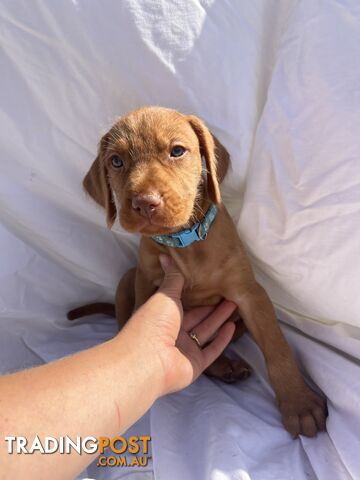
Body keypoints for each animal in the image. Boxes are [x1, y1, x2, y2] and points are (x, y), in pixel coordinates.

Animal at [69, 107, 328, 436]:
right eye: (116, 162)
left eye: (177, 151)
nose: (145, 203)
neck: (185, 243)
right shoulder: (145, 281)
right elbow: (141, 320)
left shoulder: (250, 295)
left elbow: (276, 346)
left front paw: (299, 403)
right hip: (127, 278)